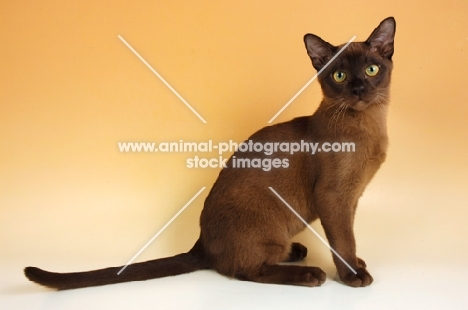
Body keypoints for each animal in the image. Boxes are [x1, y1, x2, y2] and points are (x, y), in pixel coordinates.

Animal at [22, 16, 394, 288]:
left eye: (371, 70)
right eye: (340, 75)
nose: (359, 89)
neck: (369, 127)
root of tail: (200, 243)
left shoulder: (352, 198)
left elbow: (347, 238)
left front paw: (358, 264)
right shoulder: (334, 197)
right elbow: (343, 241)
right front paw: (354, 276)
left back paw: (297, 252)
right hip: (270, 223)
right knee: (245, 269)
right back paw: (308, 273)